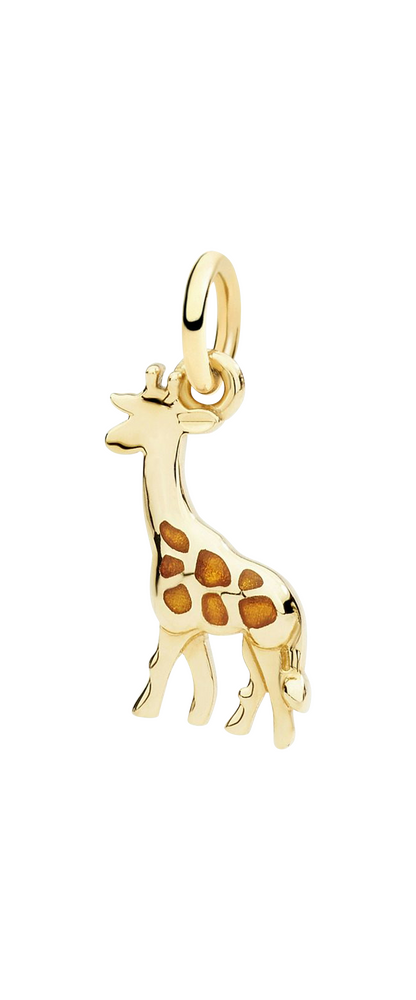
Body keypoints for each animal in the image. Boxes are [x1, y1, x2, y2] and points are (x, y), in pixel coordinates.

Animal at [102, 355, 312, 751]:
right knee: (258, 686)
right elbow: (202, 678)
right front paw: (197, 723)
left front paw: (144, 715)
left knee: (278, 694)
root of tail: (294, 604)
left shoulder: (172, 626)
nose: (109, 438)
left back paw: (280, 745)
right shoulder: (193, 629)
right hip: (252, 645)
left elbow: (158, 668)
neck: (166, 536)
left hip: (266, 644)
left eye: (145, 415)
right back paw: (235, 730)